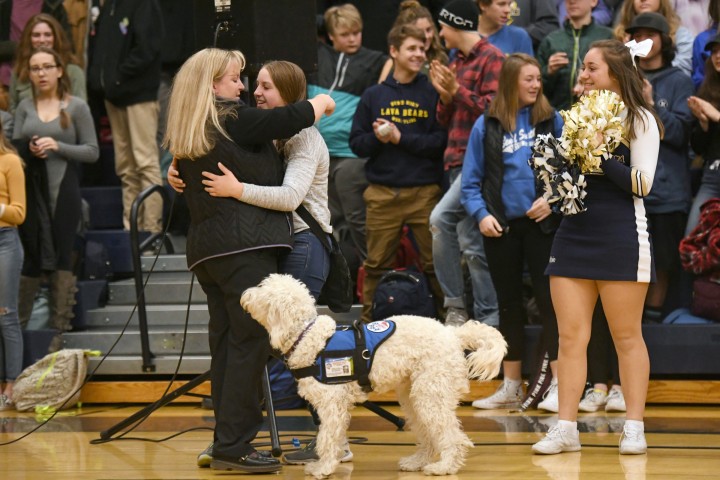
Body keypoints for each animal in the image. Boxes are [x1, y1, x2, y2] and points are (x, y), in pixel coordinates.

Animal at [242, 272, 506, 478]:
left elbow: (327, 437)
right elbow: (333, 436)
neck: (308, 336)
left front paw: (323, 468)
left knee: (452, 435)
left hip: (431, 394)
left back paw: (445, 467)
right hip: (414, 397)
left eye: (263, 289)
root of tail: (452, 333)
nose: (244, 294)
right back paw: (417, 462)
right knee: (428, 433)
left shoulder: (331, 404)